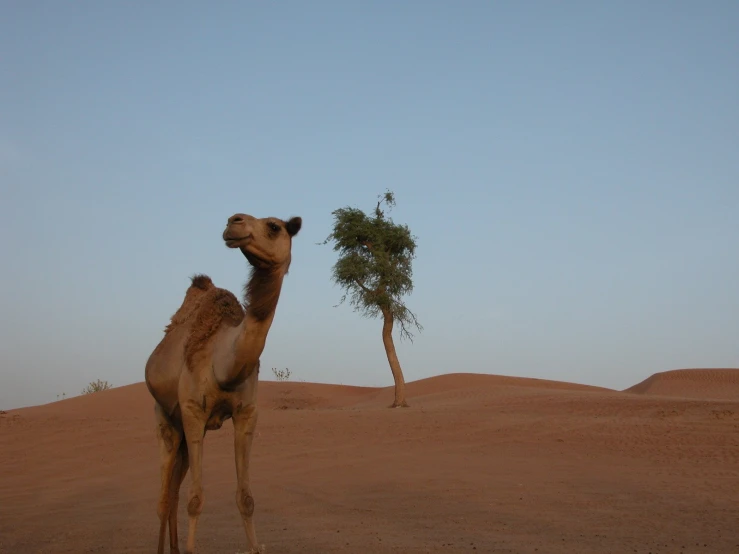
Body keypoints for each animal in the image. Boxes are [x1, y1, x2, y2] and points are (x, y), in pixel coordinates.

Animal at [145, 211, 300, 552]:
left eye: (274, 226)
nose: (234, 221)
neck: (224, 365)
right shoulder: (193, 411)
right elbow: (195, 500)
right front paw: (191, 549)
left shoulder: (246, 414)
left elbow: (246, 499)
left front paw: (255, 546)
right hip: (165, 419)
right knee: (163, 498)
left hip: (183, 432)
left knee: (173, 492)